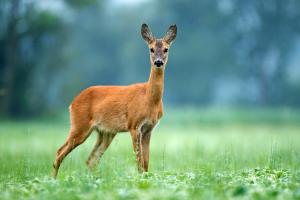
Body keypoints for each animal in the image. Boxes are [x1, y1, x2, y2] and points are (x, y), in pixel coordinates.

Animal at [52, 23, 177, 178]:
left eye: (166, 49)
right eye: (151, 49)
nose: (158, 62)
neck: (149, 99)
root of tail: (72, 102)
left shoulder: (149, 129)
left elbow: (146, 163)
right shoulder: (134, 125)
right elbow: (139, 162)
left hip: (105, 132)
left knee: (91, 159)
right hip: (79, 125)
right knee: (60, 152)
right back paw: (53, 180)